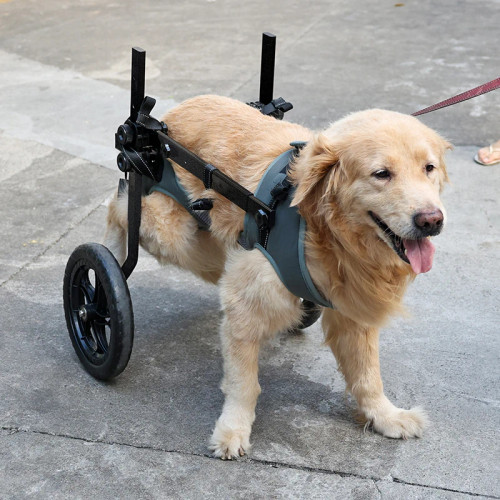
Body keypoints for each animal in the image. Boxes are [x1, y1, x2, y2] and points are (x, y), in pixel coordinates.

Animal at [104, 95, 450, 459]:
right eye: (381, 174)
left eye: (429, 168)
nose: (431, 220)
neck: (320, 227)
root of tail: (164, 117)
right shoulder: (245, 301)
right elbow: (244, 383)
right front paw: (233, 430)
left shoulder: (354, 311)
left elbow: (368, 374)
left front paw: (385, 416)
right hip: (172, 234)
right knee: (119, 207)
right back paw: (108, 257)